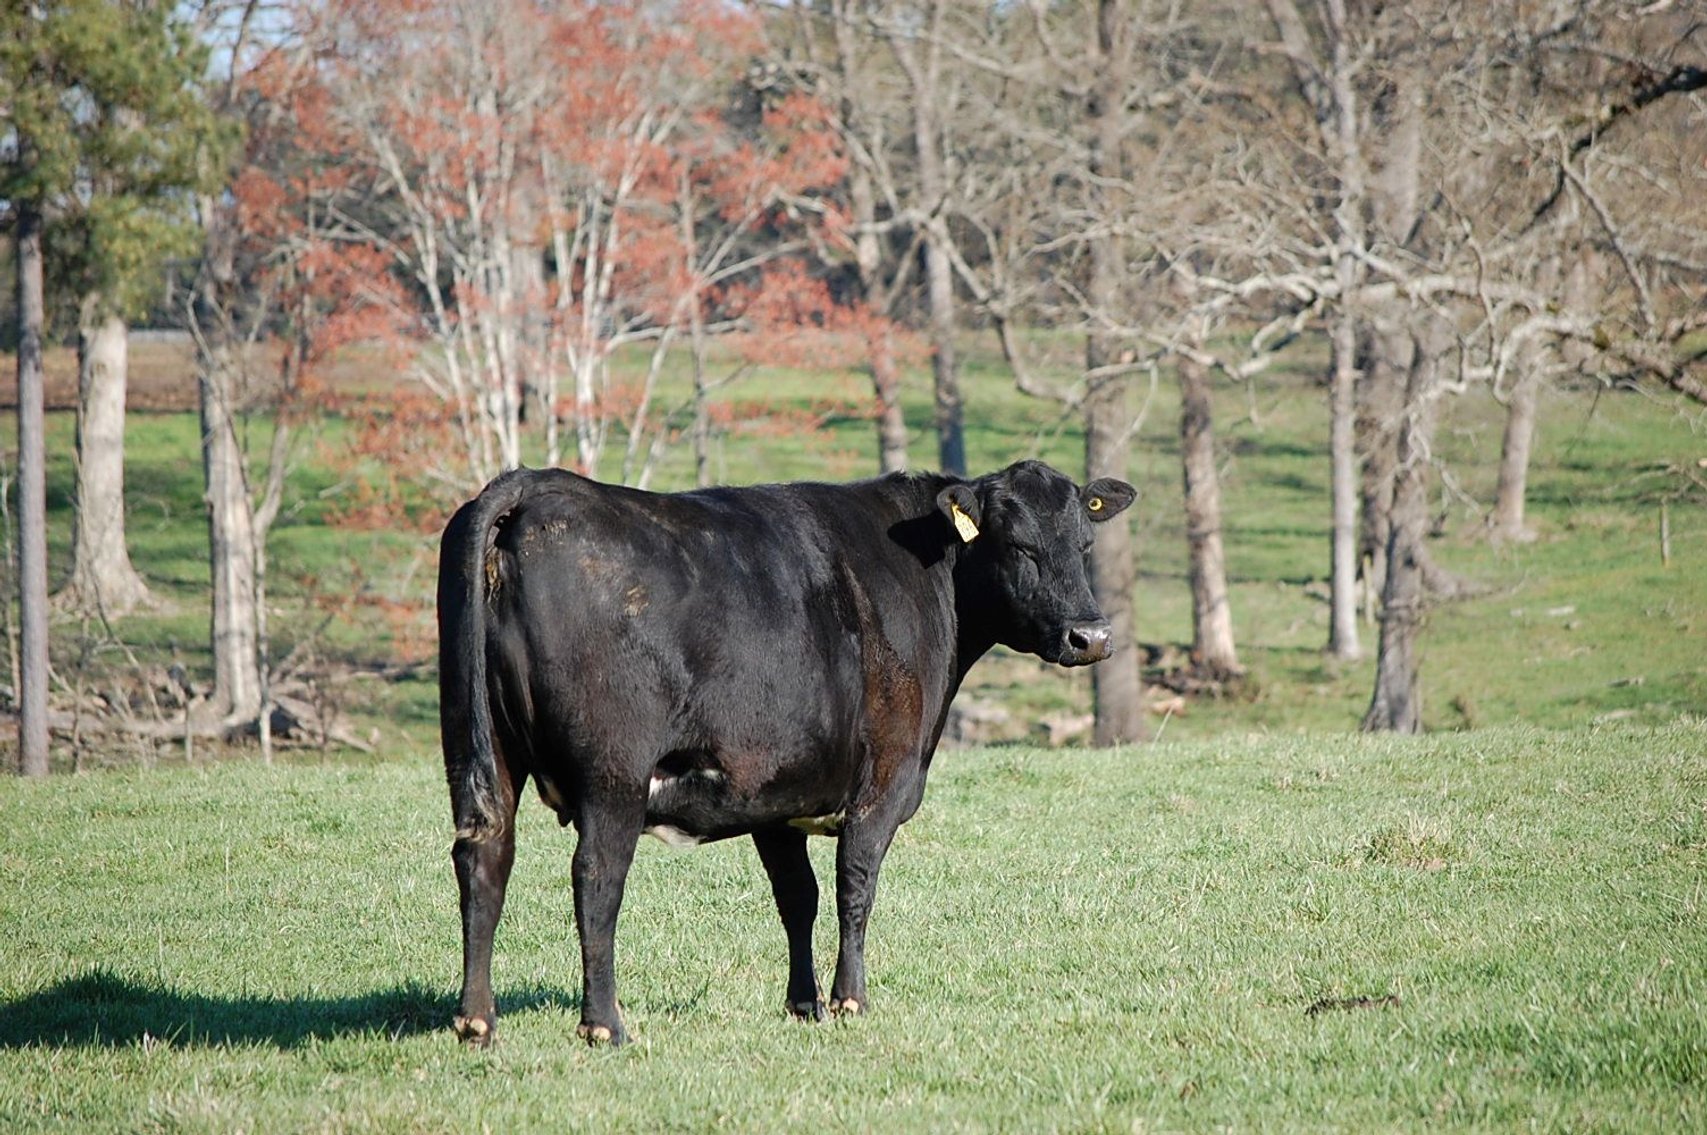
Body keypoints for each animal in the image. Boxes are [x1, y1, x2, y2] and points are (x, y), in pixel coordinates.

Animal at [437, 459, 1135, 1046]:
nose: (1092, 636)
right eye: (1018, 545)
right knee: (597, 878)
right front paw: (850, 1000)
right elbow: (855, 883)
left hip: (479, 749)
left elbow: (798, 897)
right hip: (614, 774)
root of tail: (537, 483)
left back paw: (477, 1020)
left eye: (1084, 545)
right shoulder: (884, 780)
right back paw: (604, 1024)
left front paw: (806, 1004)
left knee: (484, 857)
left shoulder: (777, 793)